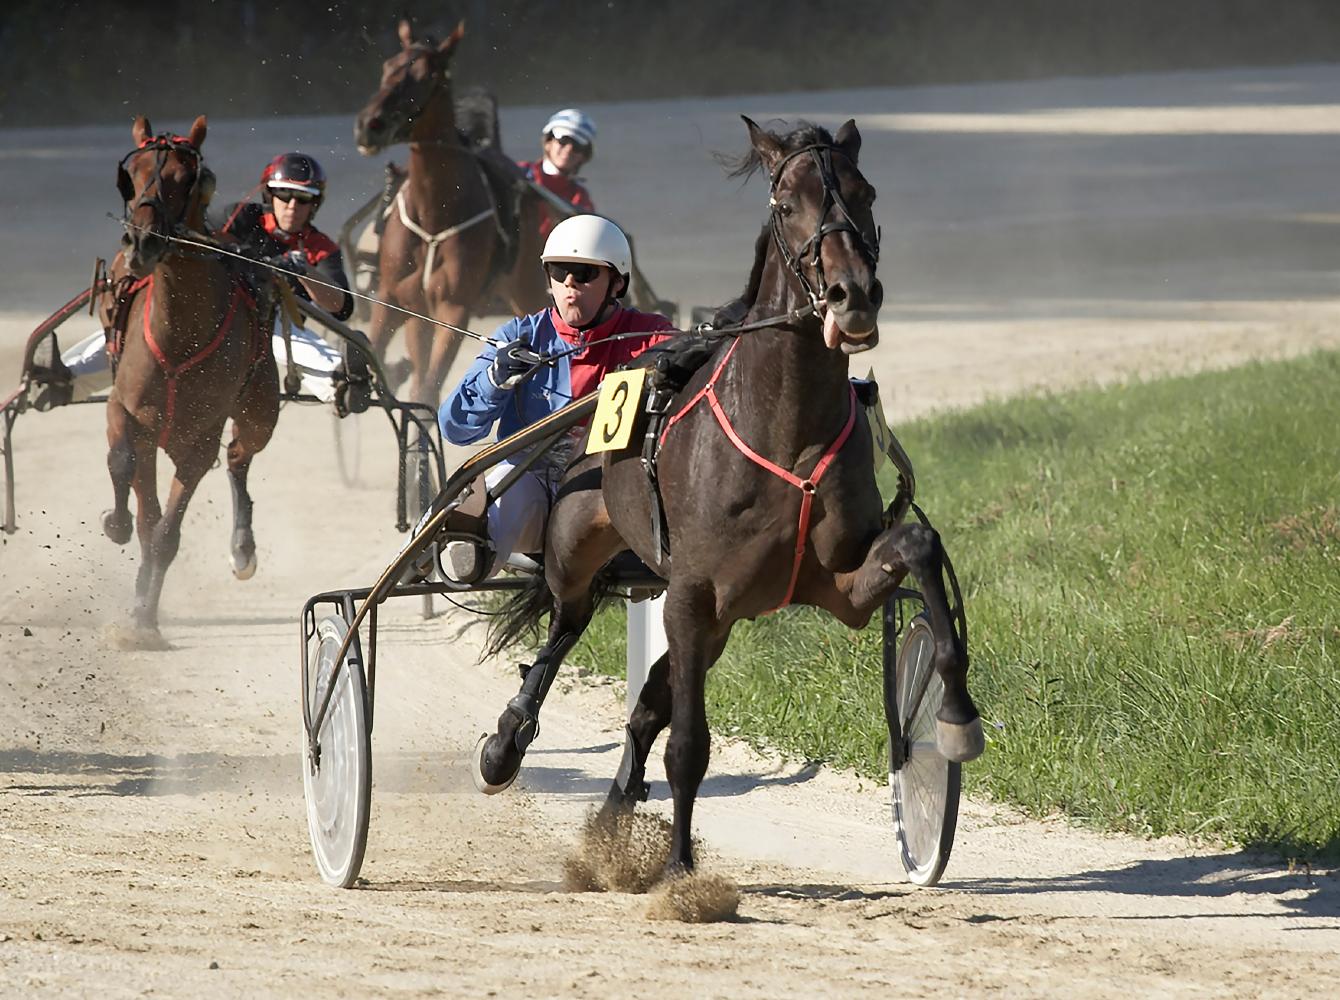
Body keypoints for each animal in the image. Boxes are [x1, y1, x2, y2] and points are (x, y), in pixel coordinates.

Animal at [105, 111, 281, 638]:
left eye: (187, 178)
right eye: (133, 172)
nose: (142, 241)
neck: (179, 330)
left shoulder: (200, 439)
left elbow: (167, 533)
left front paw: (144, 618)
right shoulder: (128, 411)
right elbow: (126, 473)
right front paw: (117, 524)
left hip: (260, 405)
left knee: (241, 455)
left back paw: (242, 547)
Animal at [356, 19, 549, 402]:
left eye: (427, 76)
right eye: (387, 66)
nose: (371, 124)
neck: (435, 213)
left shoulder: (454, 308)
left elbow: (429, 387)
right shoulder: (393, 298)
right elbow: (378, 352)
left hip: (525, 287)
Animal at [482, 118, 986, 873]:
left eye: (865, 192)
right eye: (786, 203)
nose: (853, 295)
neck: (785, 431)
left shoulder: (839, 585)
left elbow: (920, 546)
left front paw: (955, 719)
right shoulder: (692, 593)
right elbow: (689, 745)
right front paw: (680, 871)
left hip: (719, 618)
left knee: (646, 705)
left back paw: (611, 820)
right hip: (582, 552)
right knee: (565, 625)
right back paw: (507, 741)